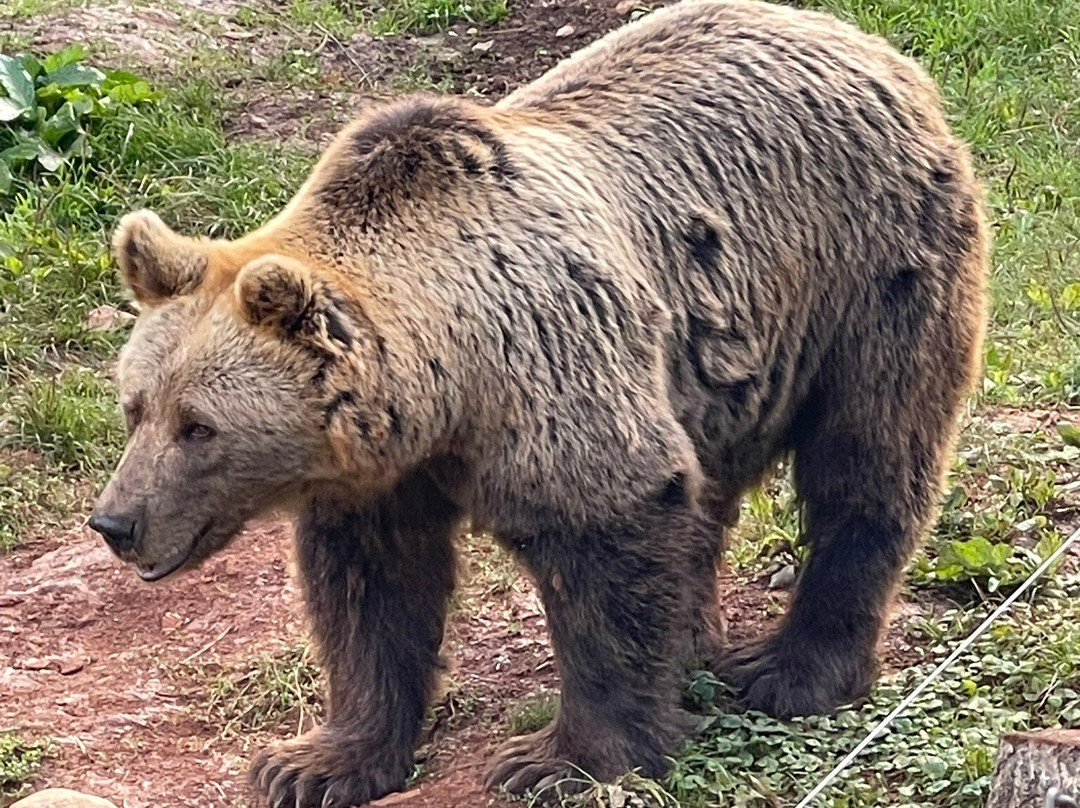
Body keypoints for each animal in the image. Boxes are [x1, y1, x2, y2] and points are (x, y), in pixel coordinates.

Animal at [88, 0, 989, 805]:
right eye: (135, 408)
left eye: (199, 427)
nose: (116, 522)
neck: (448, 387)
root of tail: (864, 41)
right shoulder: (381, 475)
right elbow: (372, 594)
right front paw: (316, 764)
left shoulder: (552, 367)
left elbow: (609, 537)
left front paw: (560, 759)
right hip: (722, 359)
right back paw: (697, 640)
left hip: (871, 271)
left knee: (866, 459)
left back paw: (792, 669)